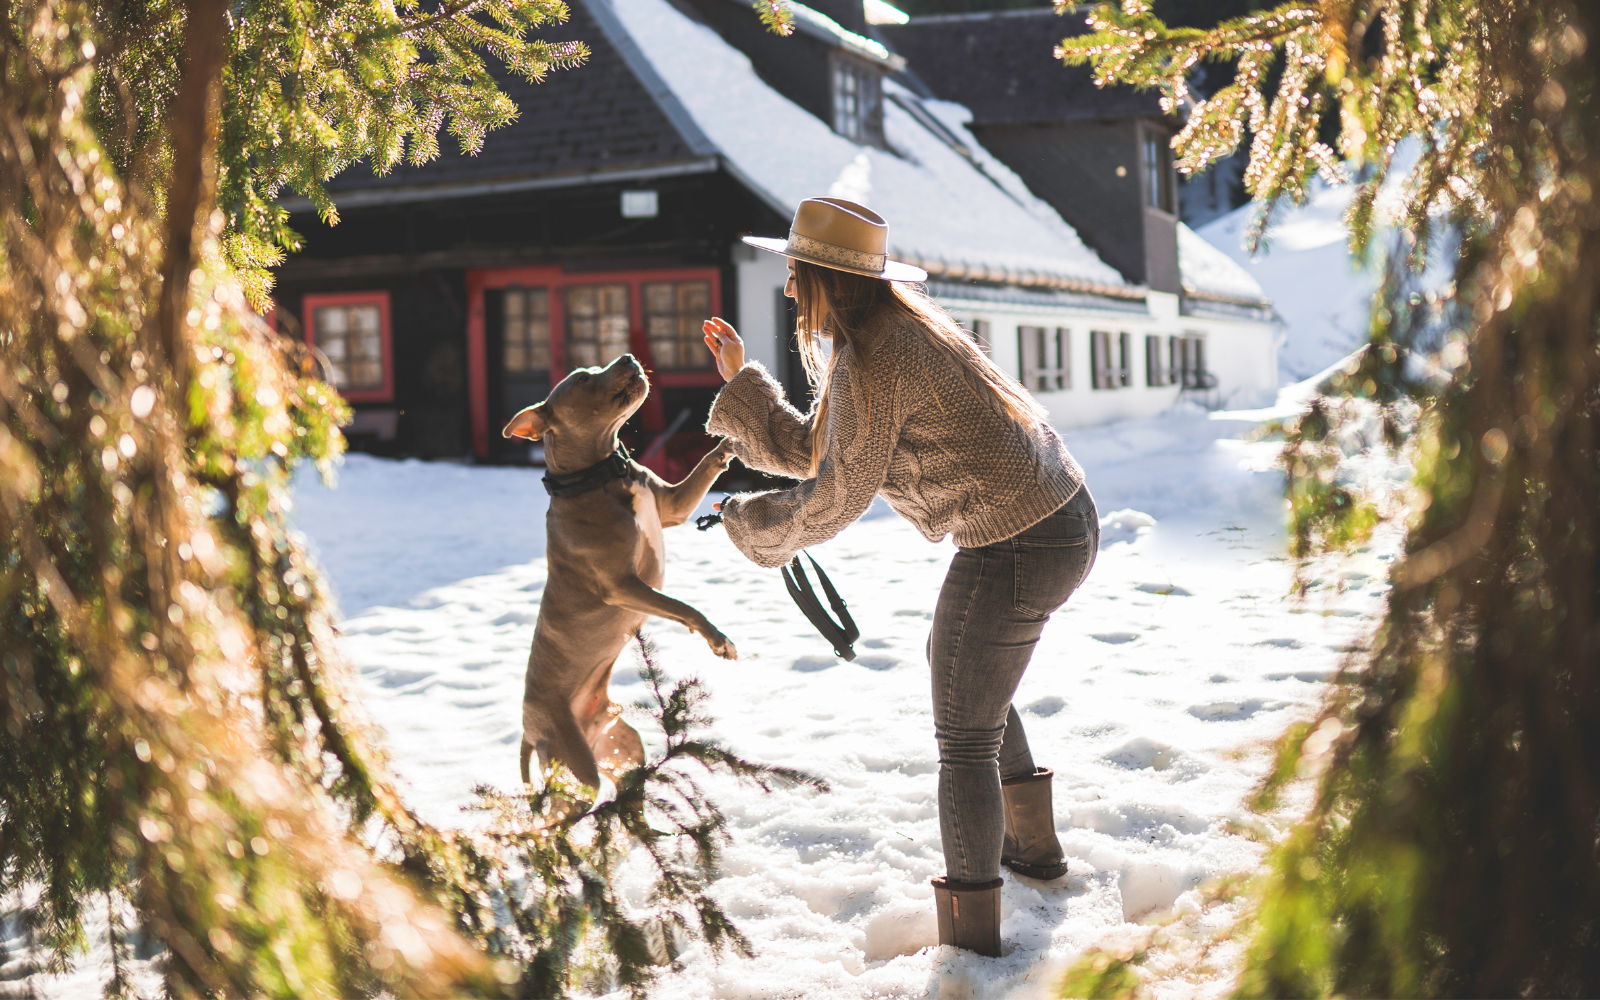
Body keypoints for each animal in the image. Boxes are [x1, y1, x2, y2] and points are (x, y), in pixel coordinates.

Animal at [499, 355, 736, 790]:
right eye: (581, 378)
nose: (627, 357)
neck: (604, 476)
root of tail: (527, 729)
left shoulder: (672, 506)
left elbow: (702, 470)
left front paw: (729, 442)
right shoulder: (623, 585)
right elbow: (683, 607)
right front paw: (717, 639)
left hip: (622, 753)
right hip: (574, 766)